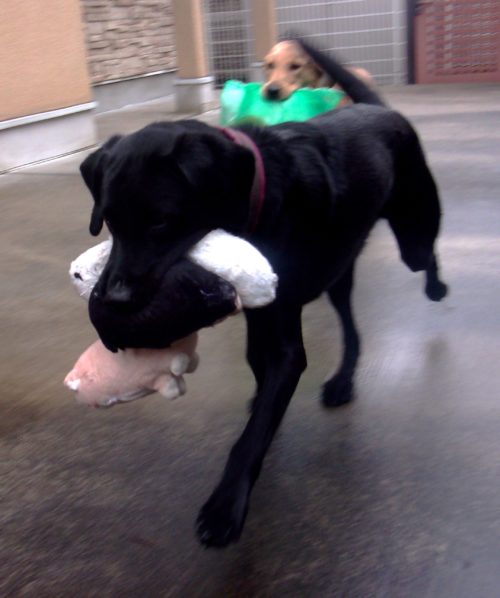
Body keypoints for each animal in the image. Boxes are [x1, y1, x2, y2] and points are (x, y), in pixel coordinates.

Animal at [80, 41, 448, 548]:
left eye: (161, 221)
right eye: (110, 221)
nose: (113, 300)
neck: (261, 193)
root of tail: (379, 108)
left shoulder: (285, 345)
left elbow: (251, 436)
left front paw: (224, 507)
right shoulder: (262, 315)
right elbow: (258, 373)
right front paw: (261, 406)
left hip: (413, 234)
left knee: (425, 256)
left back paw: (436, 287)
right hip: (337, 273)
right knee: (352, 327)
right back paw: (343, 381)